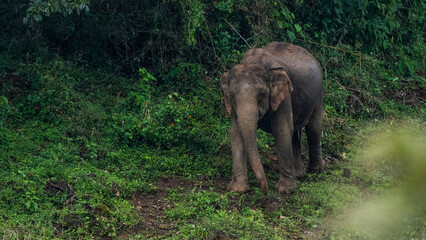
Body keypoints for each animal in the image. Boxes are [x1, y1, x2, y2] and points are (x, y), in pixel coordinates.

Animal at [221, 42, 324, 194]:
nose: (265, 190)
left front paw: (284, 190)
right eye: (231, 95)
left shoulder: (284, 93)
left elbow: (281, 130)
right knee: (294, 133)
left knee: (313, 129)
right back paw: (299, 175)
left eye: (261, 94)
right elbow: (236, 133)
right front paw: (237, 190)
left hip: (318, 96)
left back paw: (316, 170)